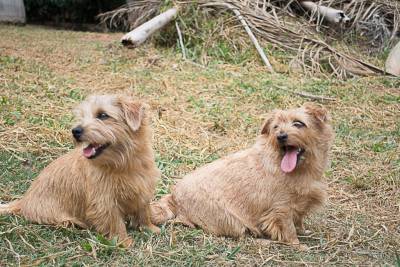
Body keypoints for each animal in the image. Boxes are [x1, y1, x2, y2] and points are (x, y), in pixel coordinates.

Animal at [0, 95, 159, 248]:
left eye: (103, 115)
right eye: (82, 116)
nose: (75, 131)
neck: (123, 164)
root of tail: (23, 200)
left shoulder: (142, 189)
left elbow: (144, 212)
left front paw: (150, 228)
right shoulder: (104, 201)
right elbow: (115, 222)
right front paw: (124, 241)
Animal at [152, 103, 332, 248]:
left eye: (298, 123)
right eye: (275, 127)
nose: (280, 136)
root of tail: (174, 198)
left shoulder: (300, 204)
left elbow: (299, 221)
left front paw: (304, 231)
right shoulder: (281, 208)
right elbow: (289, 229)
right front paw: (298, 245)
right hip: (232, 220)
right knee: (243, 237)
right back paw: (264, 241)